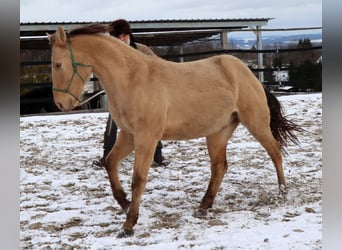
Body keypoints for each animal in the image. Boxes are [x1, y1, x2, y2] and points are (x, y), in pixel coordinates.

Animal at [47, 23, 300, 238]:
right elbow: (110, 163)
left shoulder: (147, 138)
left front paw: (129, 225)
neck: (131, 78)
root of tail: (246, 72)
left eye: (57, 64)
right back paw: (203, 207)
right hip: (218, 132)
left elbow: (138, 179)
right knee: (219, 167)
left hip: (256, 123)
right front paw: (124, 203)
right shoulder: (129, 136)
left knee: (275, 151)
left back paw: (282, 193)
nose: (60, 104)